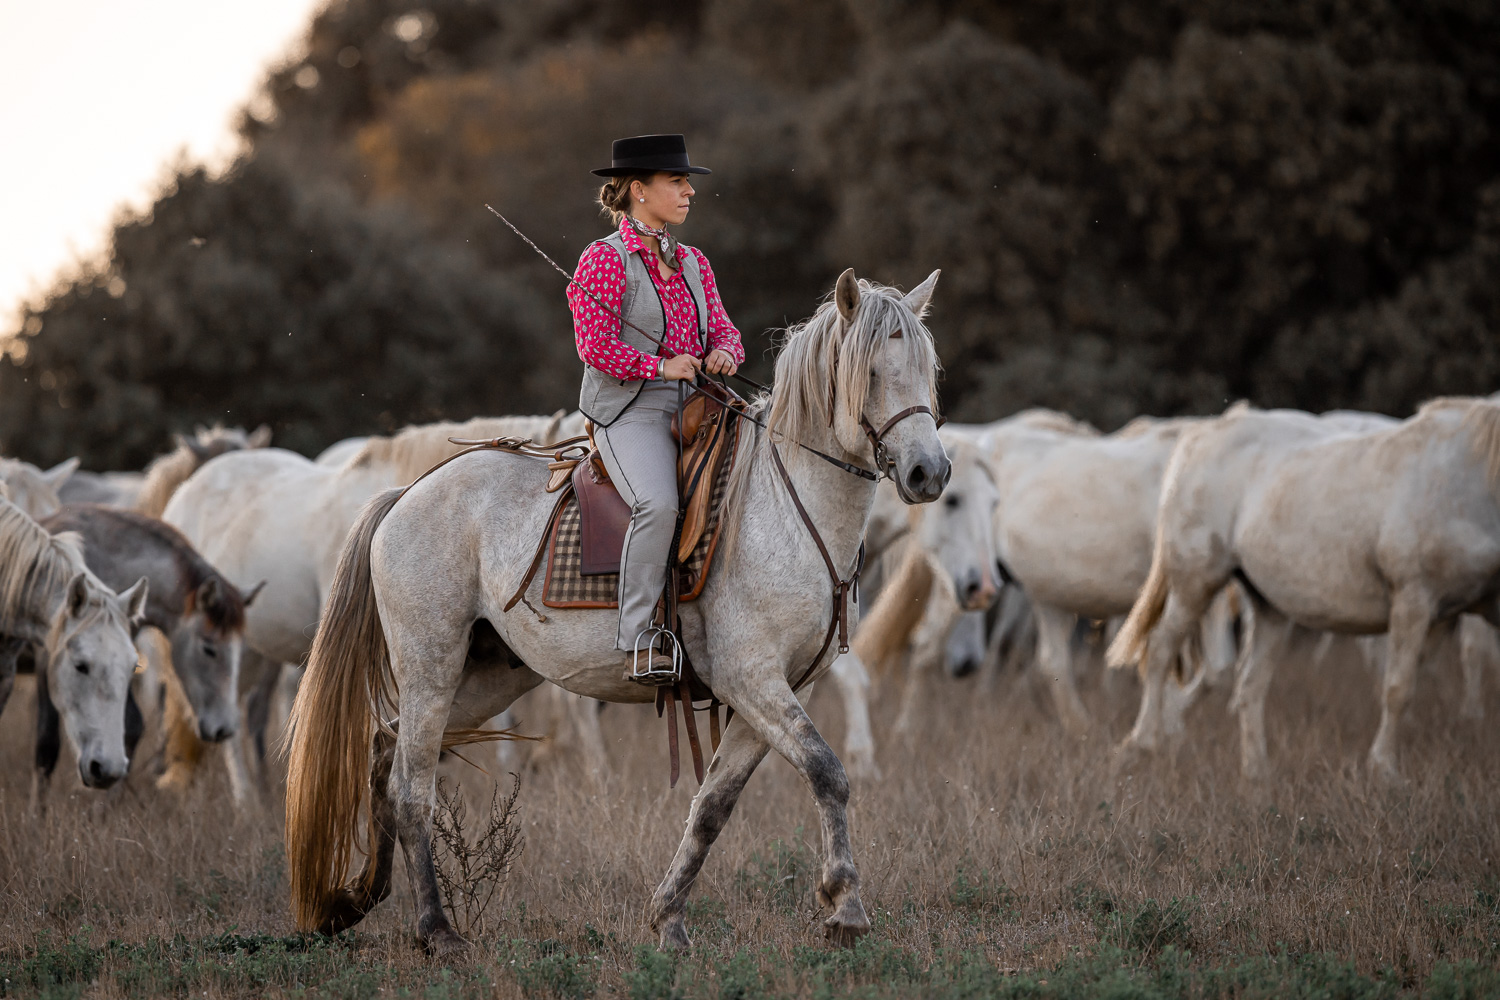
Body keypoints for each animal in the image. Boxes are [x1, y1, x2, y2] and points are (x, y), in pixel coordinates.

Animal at [1110, 395, 1500, 779]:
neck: (1467, 479)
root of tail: (1201, 434)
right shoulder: (1413, 599)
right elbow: (1398, 687)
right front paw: (1384, 769)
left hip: (1269, 608)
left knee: (1250, 685)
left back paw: (1257, 772)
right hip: (1196, 582)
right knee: (1161, 648)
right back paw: (1142, 744)